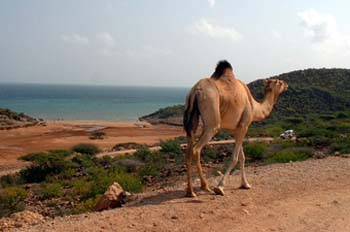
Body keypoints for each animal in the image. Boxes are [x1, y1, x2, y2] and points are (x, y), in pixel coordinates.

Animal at [183, 60, 288, 197]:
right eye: (279, 82)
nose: (286, 84)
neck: (255, 107)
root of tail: (196, 90)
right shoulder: (244, 125)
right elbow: (235, 158)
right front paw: (220, 187)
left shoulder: (236, 129)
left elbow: (242, 157)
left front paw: (245, 184)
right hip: (212, 120)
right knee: (196, 149)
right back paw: (205, 186)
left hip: (192, 117)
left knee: (189, 150)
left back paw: (190, 191)